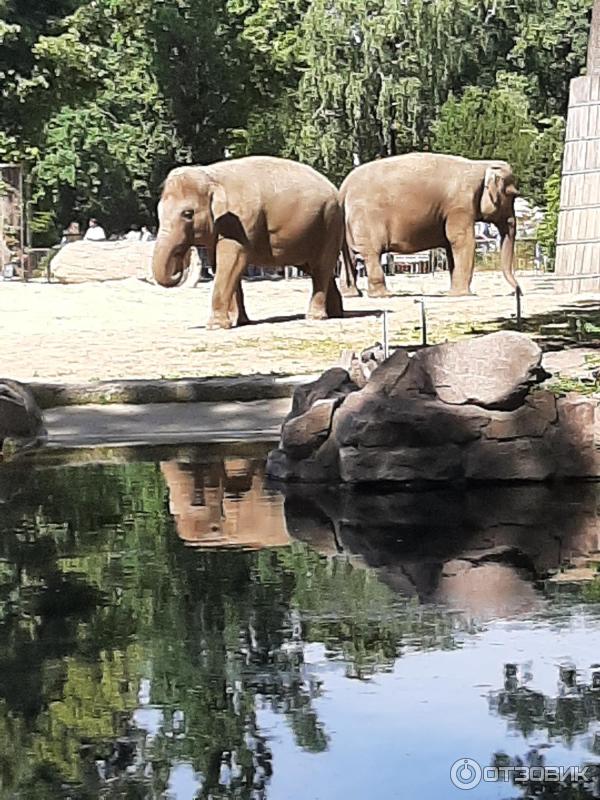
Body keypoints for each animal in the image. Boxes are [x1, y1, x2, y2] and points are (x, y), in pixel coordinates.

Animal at [152, 155, 344, 330]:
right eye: (159, 212)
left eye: (187, 214)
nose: (179, 264)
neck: (210, 176)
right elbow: (221, 265)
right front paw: (238, 322)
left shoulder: (240, 221)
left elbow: (231, 262)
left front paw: (216, 326)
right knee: (316, 268)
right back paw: (335, 314)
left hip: (330, 224)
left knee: (321, 267)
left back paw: (315, 317)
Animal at [342, 152, 520, 298]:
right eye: (512, 195)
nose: (517, 291)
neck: (481, 165)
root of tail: (343, 188)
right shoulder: (460, 206)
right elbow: (462, 241)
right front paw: (462, 295)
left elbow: (450, 247)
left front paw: (453, 292)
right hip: (366, 219)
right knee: (371, 254)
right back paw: (382, 295)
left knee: (349, 256)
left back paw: (352, 294)